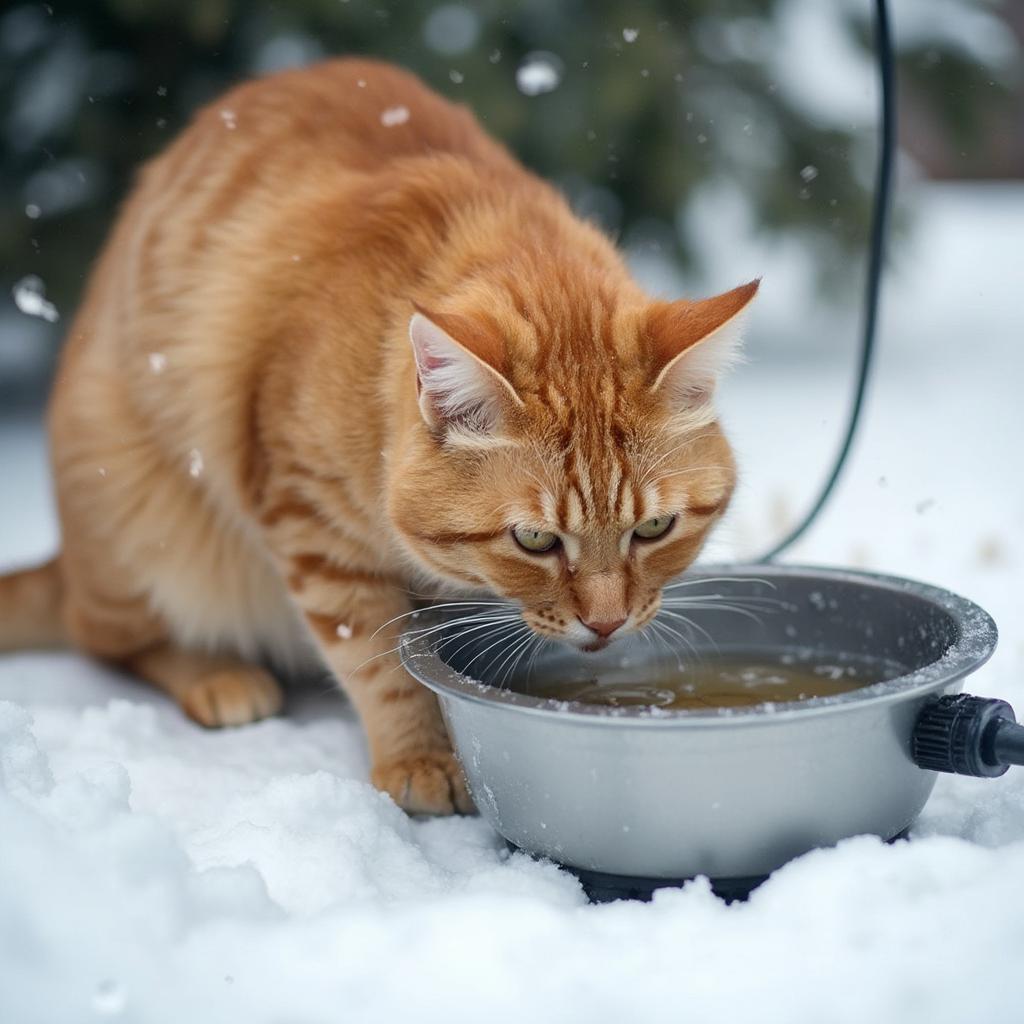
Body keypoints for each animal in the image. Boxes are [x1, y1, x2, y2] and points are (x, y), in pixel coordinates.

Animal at [0, 61, 753, 815]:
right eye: (535, 539)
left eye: (653, 528)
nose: (606, 625)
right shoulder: (311, 527)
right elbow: (379, 660)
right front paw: (419, 754)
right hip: (143, 525)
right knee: (101, 635)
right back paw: (218, 676)